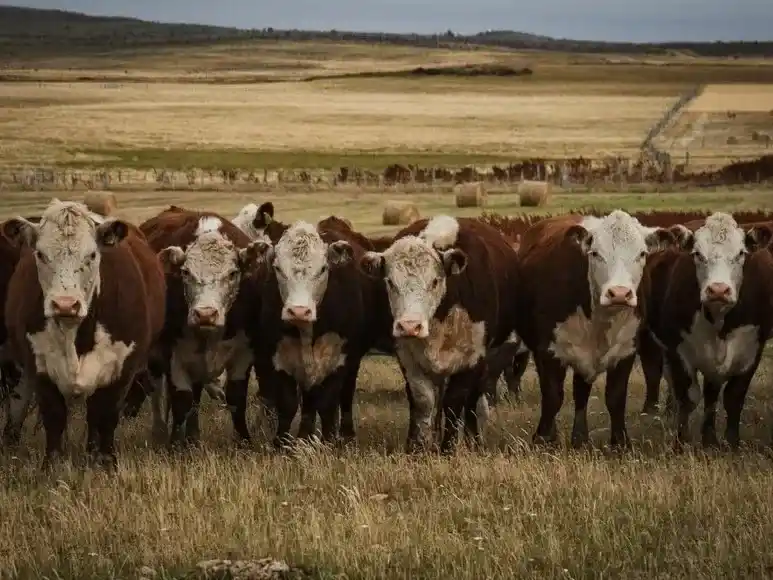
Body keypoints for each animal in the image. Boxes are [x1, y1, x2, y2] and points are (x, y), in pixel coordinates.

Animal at [2, 199, 166, 468]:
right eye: (40, 254)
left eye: (92, 255)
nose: (65, 304)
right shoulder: (39, 367)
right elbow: (54, 417)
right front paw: (52, 465)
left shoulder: (122, 369)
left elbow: (106, 416)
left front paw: (106, 462)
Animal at [138, 207, 266, 446]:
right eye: (186, 273)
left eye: (233, 273)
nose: (205, 314)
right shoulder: (174, 354)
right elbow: (181, 400)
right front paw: (175, 444)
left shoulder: (244, 352)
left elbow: (236, 397)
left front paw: (244, 441)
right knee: (158, 391)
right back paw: (160, 431)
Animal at [359, 215, 520, 454]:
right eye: (390, 282)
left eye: (435, 281)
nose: (410, 326)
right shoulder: (407, 357)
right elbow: (423, 400)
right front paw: (416, 447)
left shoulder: (472, 358)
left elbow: (455, 402)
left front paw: (449, 448)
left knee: (473, 400)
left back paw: (473, 441)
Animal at [515, 210, 677, 448]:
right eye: (595, 253)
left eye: (642, 253)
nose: (619, 293)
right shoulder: (549, 351)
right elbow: (552, 396)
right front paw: (543, 438)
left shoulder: (626, 350)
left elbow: (616, 397)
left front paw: (620, 442)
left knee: (581, 392)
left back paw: (580, 437)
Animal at [643, 213, 773, 448]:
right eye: (698, 254)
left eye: (741, 253)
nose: (718, 289)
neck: (718, 319)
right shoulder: (677, 349)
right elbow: (687, 397)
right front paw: (681, 443)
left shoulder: (752, 350)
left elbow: (734, 396)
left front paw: (731, 443)